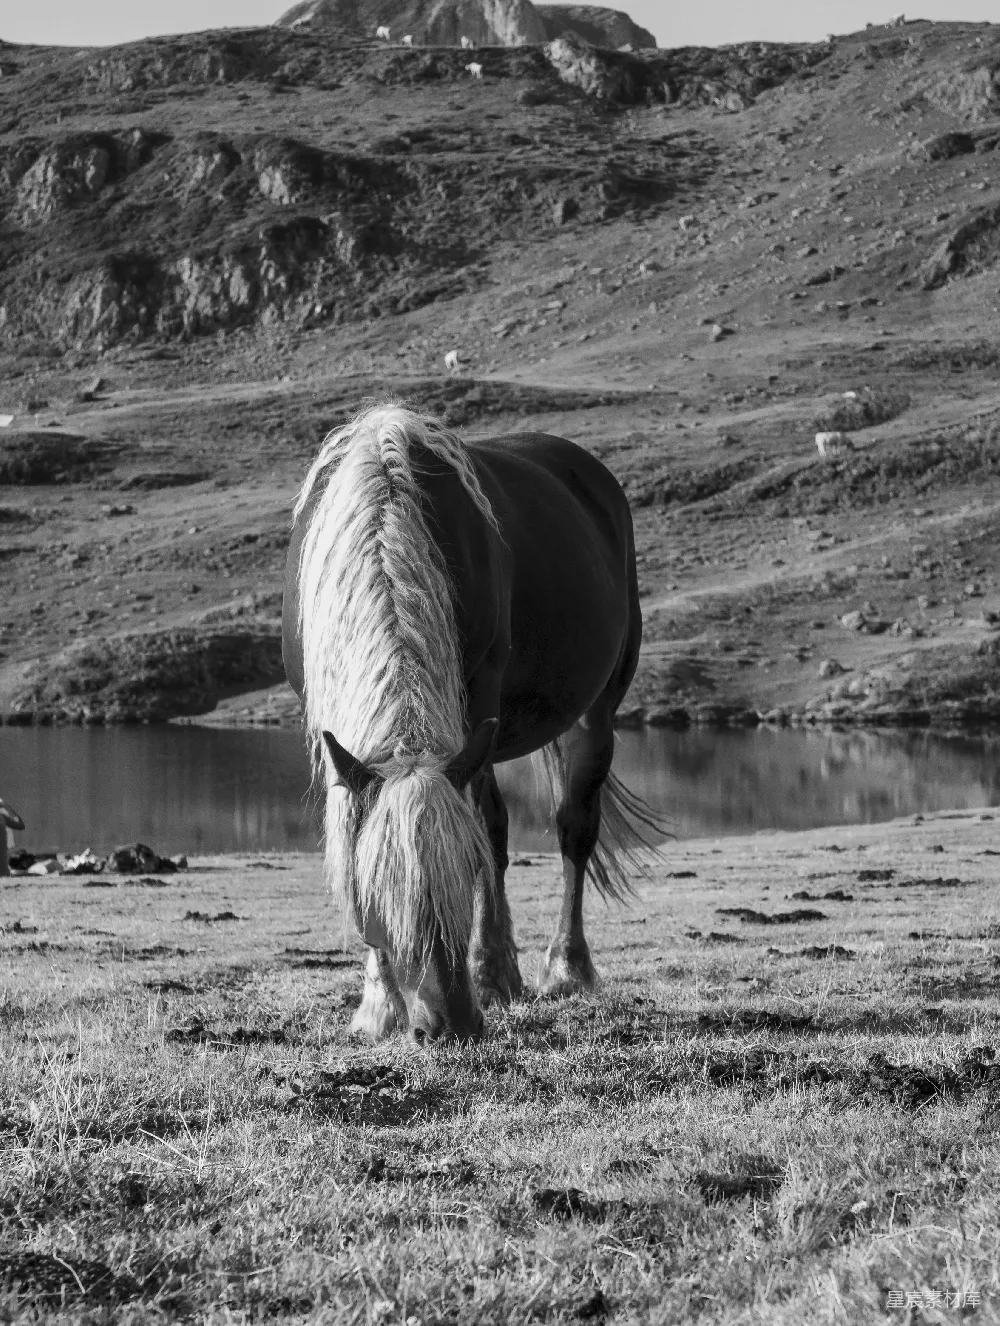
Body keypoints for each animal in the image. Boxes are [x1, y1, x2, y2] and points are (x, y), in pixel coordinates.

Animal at [282, 404, 660, 1044]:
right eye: (379, 894)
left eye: (462, 873)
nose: (449, 1024)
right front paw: (378, 1003)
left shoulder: (478, 699)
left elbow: (488, 834)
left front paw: (488, 974)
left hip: (595, 713)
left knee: (573, 829)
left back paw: (565, 968)